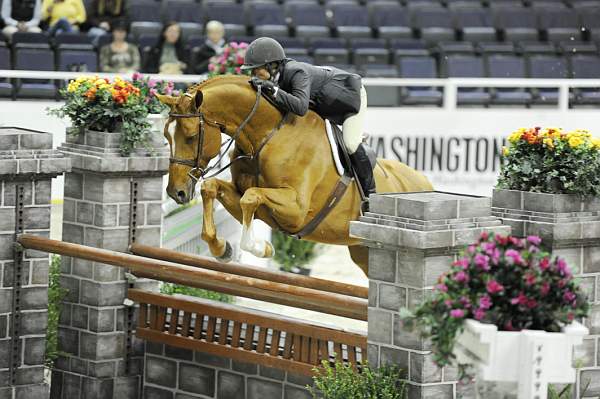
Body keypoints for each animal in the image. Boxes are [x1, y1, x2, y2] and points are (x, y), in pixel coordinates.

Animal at [157, 74, 434, 276]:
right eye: (166, 136)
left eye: (191, 136)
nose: (175, 192)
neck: (268, 135)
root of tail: (426, 184)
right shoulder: (254, 201)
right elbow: (213, 188)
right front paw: (222, 249)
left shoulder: (296, 210)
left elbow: (251, 197)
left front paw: (261, 248)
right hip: (363, 252)